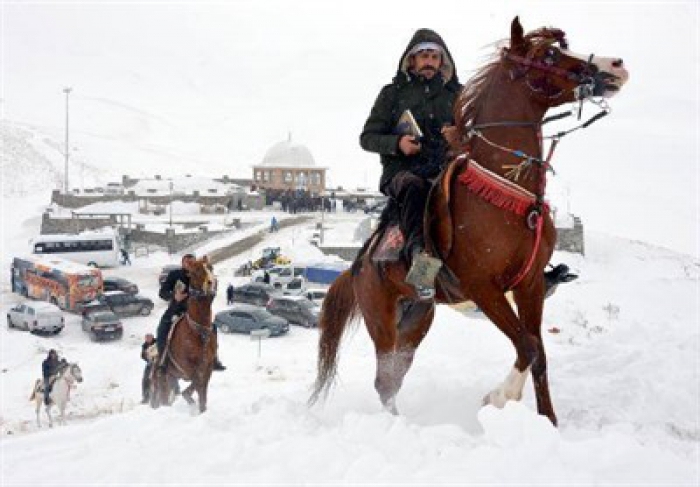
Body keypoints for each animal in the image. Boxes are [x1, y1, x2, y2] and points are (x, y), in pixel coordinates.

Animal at [152, 258, 217, 414]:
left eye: (211, 267)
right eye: (197, 270)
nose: (211, 282)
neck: (198, 332)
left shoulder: (208, 366)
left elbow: (202, 390)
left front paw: (201, 408)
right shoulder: (188, 367)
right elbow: (197, 385)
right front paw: (190, 399)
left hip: (171, 377)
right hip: (163, 378)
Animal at [312, 17, 628, 426]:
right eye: (548, 54)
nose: (615, 65)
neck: (507, 192)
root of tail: (358, 266)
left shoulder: (528, 285)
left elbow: (538, 353)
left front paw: (548, 421)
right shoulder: (483, 287)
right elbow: (527, 345)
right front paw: (498, 397)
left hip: (416, 318)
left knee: (393, 378)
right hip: (380, 319)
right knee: (384, 380)